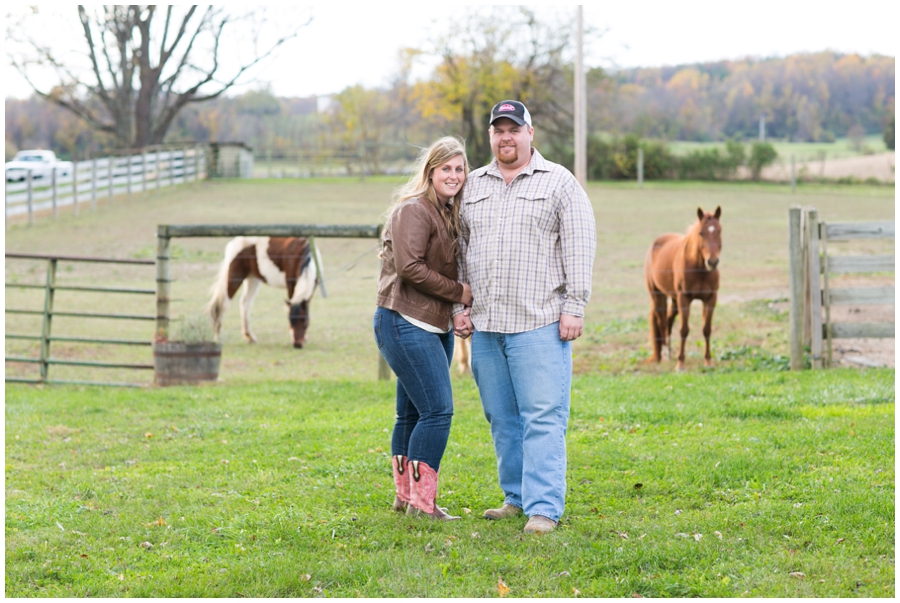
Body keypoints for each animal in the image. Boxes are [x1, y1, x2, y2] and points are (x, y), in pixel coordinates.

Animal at [644, 205, 720, 370]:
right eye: (701, 233)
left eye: (719, 231)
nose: (712, 262)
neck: (699, 269)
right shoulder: (684, 298)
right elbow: (684, 330)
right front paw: (680, 363)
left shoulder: (711, 298)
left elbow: (707, 329)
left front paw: (708, 361)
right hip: (658, 296)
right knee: (662, 321)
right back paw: (665, 354)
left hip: (674, 299)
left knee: (668, 320)